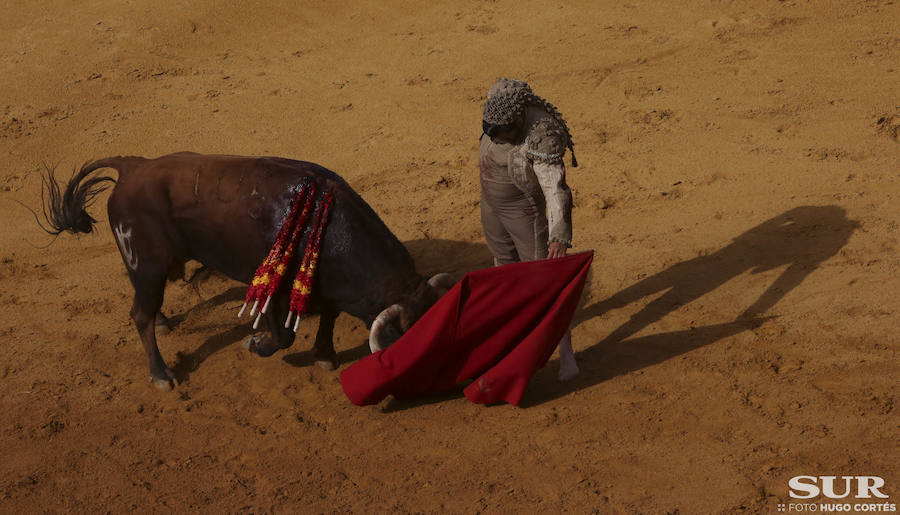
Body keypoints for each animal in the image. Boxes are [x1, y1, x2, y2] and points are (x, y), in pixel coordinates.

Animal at [38, 153, 454, 392]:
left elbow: (329, 317)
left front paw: (324, 354)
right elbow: (283, 335)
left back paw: (165, 322)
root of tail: (132, 168)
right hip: (149, 265)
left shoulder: (328, 285)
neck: (326, 223)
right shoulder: (275, 287)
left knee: (146, 304)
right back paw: (161, 374)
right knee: (140, 313)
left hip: (150, 269)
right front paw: (255, 344)